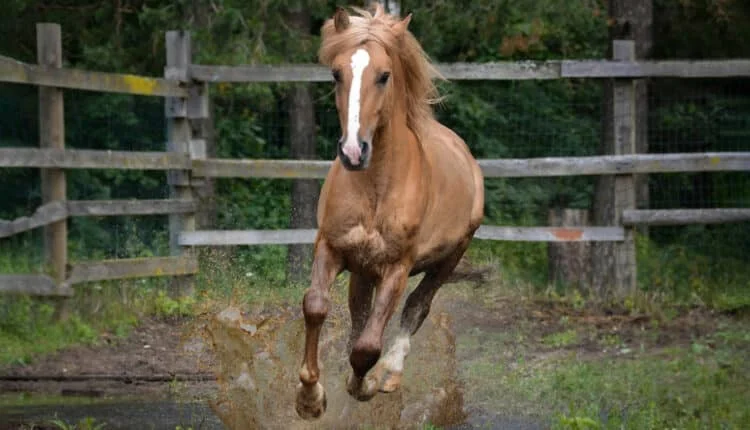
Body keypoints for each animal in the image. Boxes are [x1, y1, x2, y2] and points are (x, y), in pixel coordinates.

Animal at [295, 3, 484, 419]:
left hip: (448, 258)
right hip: (363, 270)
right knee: (360, 314)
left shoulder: (396, 267)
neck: (376, 188)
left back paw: (390, 374)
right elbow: (316, 307)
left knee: (417, 307)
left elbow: (368, 346)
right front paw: (310, 397)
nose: (353, 151)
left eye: (384, 76)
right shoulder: (333, 248)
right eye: (336, 74)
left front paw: (364, 385)